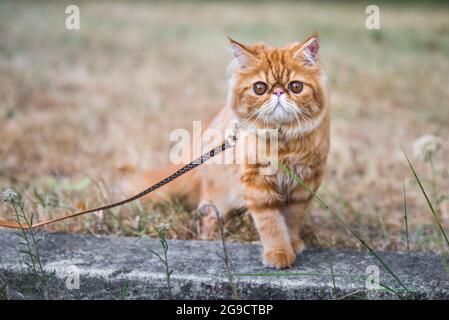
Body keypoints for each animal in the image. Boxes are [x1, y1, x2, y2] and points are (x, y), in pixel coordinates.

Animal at [140, 35, 328, 268]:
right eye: (260, 88)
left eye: (295, 86)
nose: (278, 91)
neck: (282, 141)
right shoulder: (257, 184)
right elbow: (272, 224)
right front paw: (279, 254)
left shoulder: (304, 185)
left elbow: (292, 219)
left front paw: (292, 244)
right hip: (218, 199)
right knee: (209, 216)